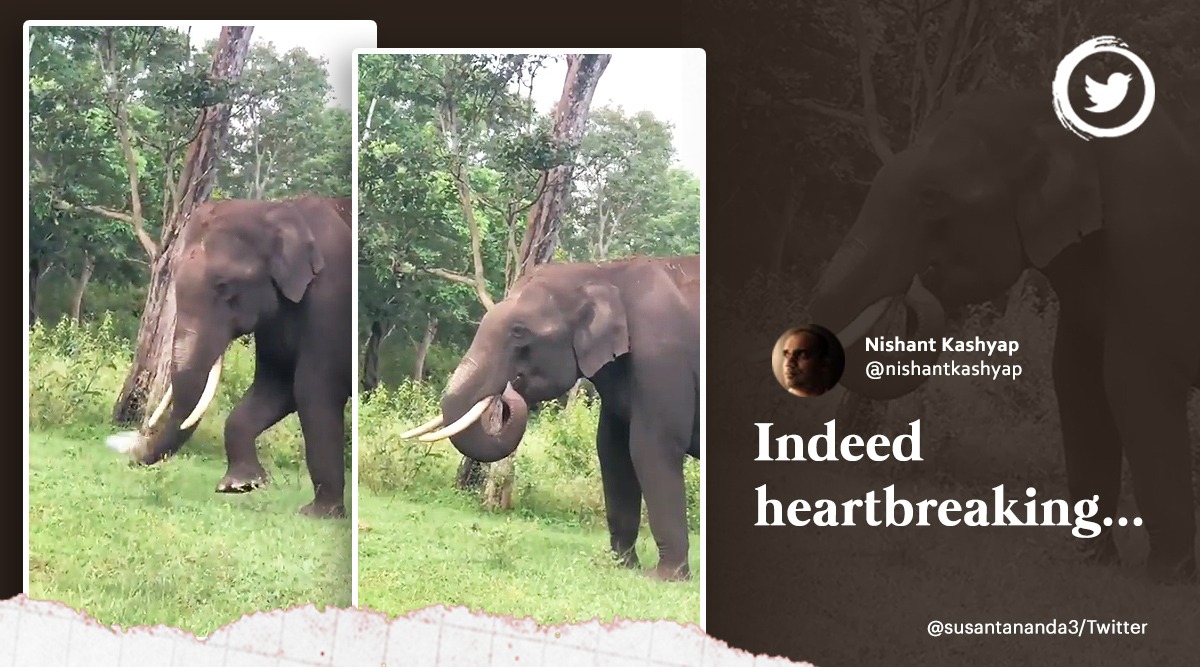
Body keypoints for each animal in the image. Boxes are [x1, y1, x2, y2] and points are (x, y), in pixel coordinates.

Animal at [124, 195, 353, 518]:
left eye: (224, 286)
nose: (130, 452)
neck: (278, 211)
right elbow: (276, 387)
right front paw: (240, 485)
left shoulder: (332, 299)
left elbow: (313, 390)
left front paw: (319, 513)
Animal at [403, 255, 701, 580]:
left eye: (519, 331)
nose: (509, 388)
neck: (604, 272)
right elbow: (612, 451)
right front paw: (619, 566)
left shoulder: (661, 358)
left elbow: (652, 447)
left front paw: (664, 578)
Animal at [807, 88, 1200, 584]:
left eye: (932, 198)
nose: (918, 281)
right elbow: (1078, 386)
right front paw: (1090, 562)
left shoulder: (1153, 258)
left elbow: (1135, 388)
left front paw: (1164, 577)